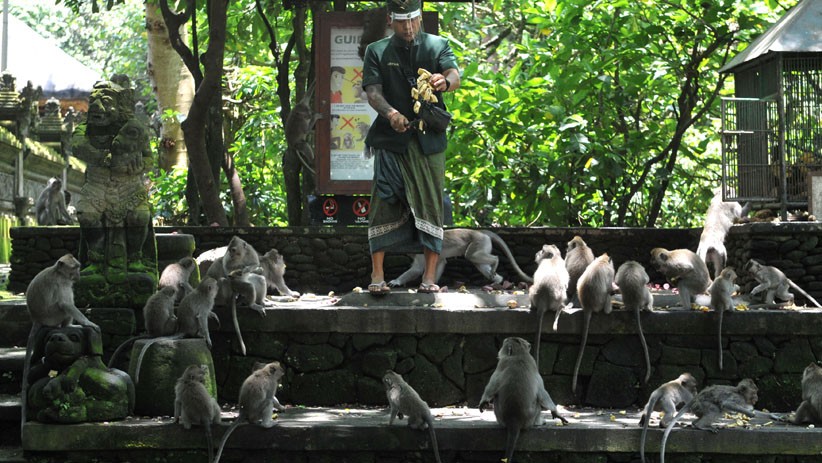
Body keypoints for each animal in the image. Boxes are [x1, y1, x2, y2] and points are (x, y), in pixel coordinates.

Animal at [21, 254, 98, 427]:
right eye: (75, 267)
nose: (79, 275)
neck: (59, 272)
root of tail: (36, 319)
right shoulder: (61, 284)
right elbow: (66, 304)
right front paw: (88, 323)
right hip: (53, 316)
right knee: (64, 306)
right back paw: (70, 325)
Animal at [389, 229, 533, 287]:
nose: (408, 254)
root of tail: (480, 232)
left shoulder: (420, 253)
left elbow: (417, 269)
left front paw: (396, 281)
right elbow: (441, 262)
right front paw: (433, 283)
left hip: (479, 241)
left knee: (472, 256)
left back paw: (496, 261)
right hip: (483, 243)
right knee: (477, 262)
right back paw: (498, 281)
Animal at [573, 253, 615, 393]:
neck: (601, 261)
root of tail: (587, 305)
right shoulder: (610, 272)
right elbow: (609, 288)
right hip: (600, 304)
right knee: (607, 293)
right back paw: (609, 310)